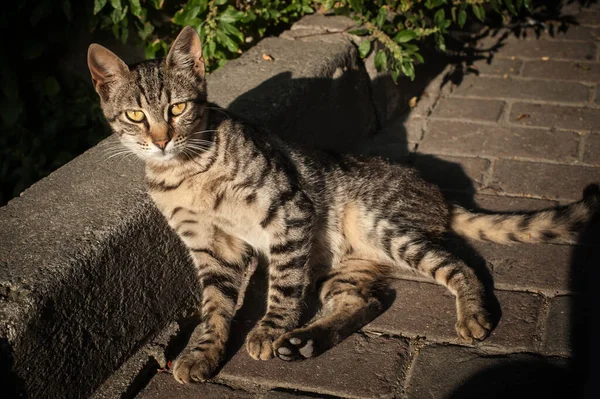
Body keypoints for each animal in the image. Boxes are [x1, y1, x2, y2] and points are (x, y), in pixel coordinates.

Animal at [86, 25, 596, 384]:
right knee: (369, 299)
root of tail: (440, 196)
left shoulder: (288, 211)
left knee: (458, 264)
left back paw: (471, 314)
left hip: (381, 227)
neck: (187, 173)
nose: (161, 140)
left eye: (178, 108)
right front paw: (201, 353)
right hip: (345, 267)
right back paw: (307, 341)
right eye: (135, 115)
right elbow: (214, 307)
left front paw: (269, 328)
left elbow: (284, 285)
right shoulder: (212, 247)